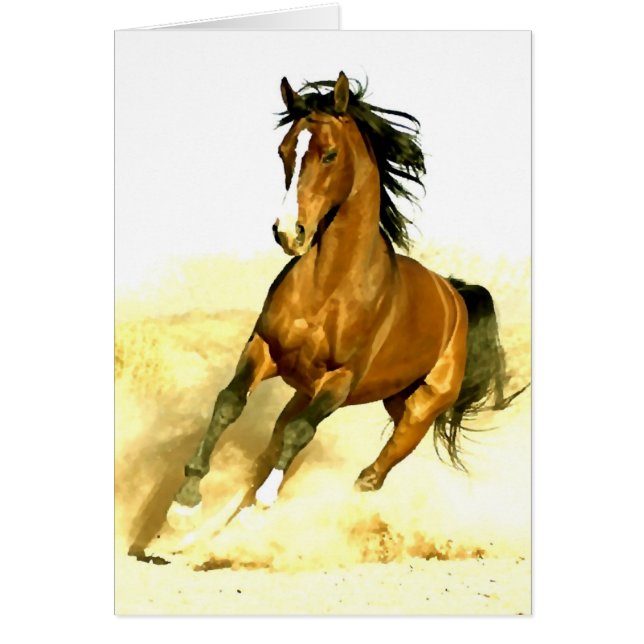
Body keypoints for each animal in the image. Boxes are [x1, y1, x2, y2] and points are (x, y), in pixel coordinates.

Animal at [166, 71, 519, 530]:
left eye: (329, 154)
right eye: (284, 151)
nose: (288, 232)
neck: (328, 288)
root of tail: (454, 295)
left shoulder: (340, 380)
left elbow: (300, 434)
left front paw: (263, 501)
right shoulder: (264, 348)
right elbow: (229, 403)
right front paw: (186, 500)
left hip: (418, 409)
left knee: (373, 471)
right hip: (331, 392)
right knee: (278, 438)